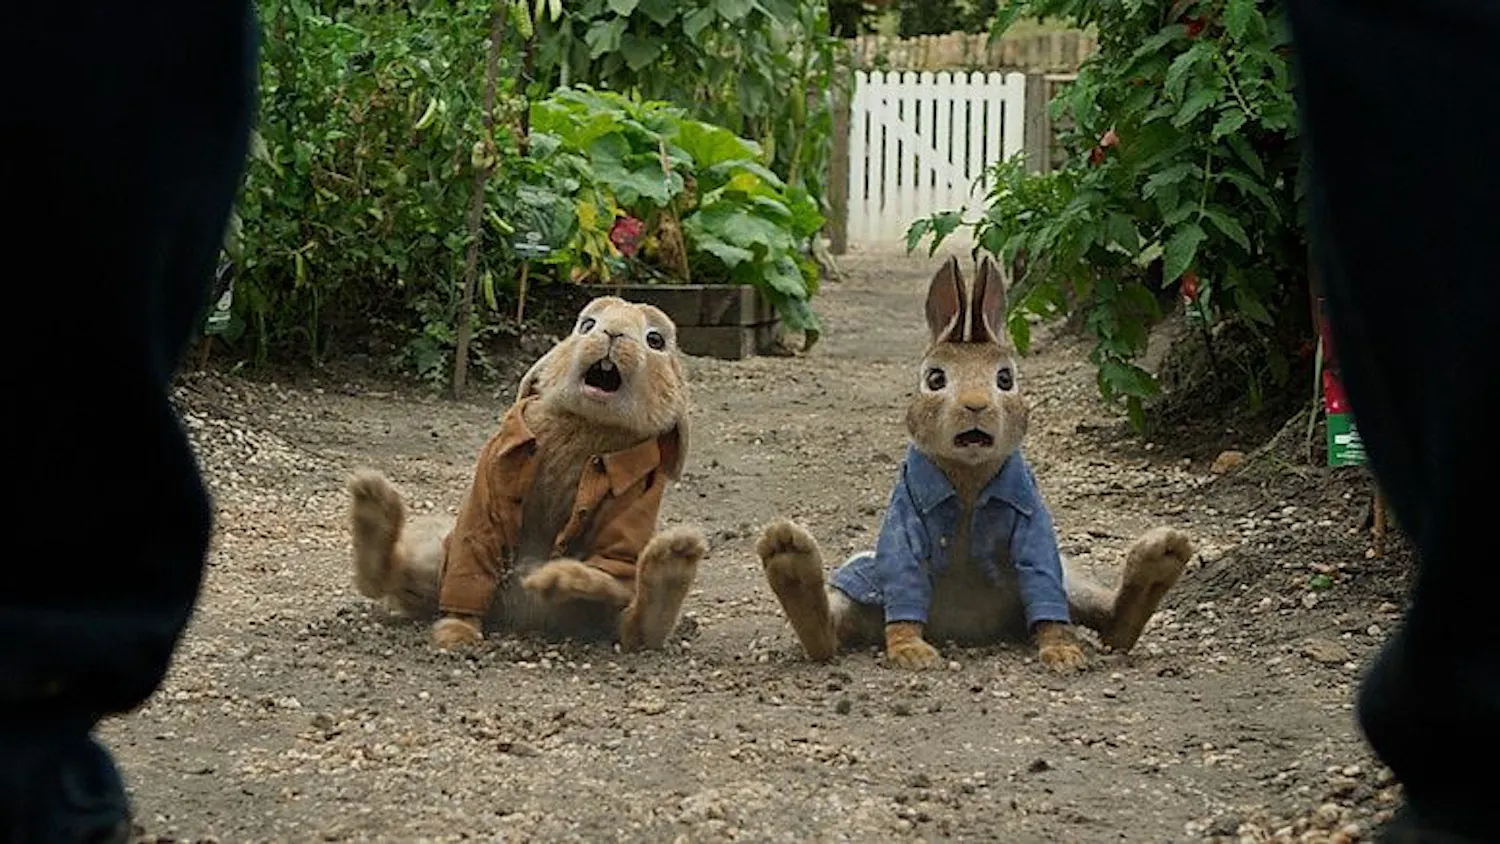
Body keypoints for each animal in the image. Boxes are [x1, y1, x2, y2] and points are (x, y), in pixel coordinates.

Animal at [346, 295, 707, 652]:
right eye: (586, 324)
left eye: (655, 340)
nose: (613, 333)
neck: (590, 423)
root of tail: (518, 615)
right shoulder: (487, 492)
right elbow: (473, 558)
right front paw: (457, 633)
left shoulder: (637, 499)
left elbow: (612, 554)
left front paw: (558, 578)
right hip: (439, 557)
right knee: (394, 578)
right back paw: (373, 501)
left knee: (635, 629)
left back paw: (673, 559)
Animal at [756, 255, 1194, 673]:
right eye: (935, 380)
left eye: (1005, 380)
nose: (976, 405)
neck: (968, 478)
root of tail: (966, 627)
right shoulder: (904, 521)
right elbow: (904, 577)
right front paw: (911, 653)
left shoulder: (1034, 527)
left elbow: (1043, 581)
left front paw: (1063, 654)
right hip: (861, 586)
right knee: (831, 631)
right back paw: (787, 555)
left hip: (1069, 582)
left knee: (1108, 622)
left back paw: (1163, 557)